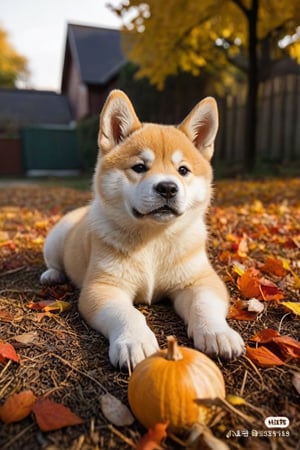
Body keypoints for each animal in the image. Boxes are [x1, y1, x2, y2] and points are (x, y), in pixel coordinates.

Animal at [41, 89, 245, 370]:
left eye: (183, 170)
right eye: (139, 167)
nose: (168, 187)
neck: (153, 240)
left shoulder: (200, 280)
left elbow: (204, 305)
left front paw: (217, 332)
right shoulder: (103, 287)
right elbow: (128, 313)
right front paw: (134, 340)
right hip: (55, 238)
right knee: (53, 262)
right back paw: (52, 274)